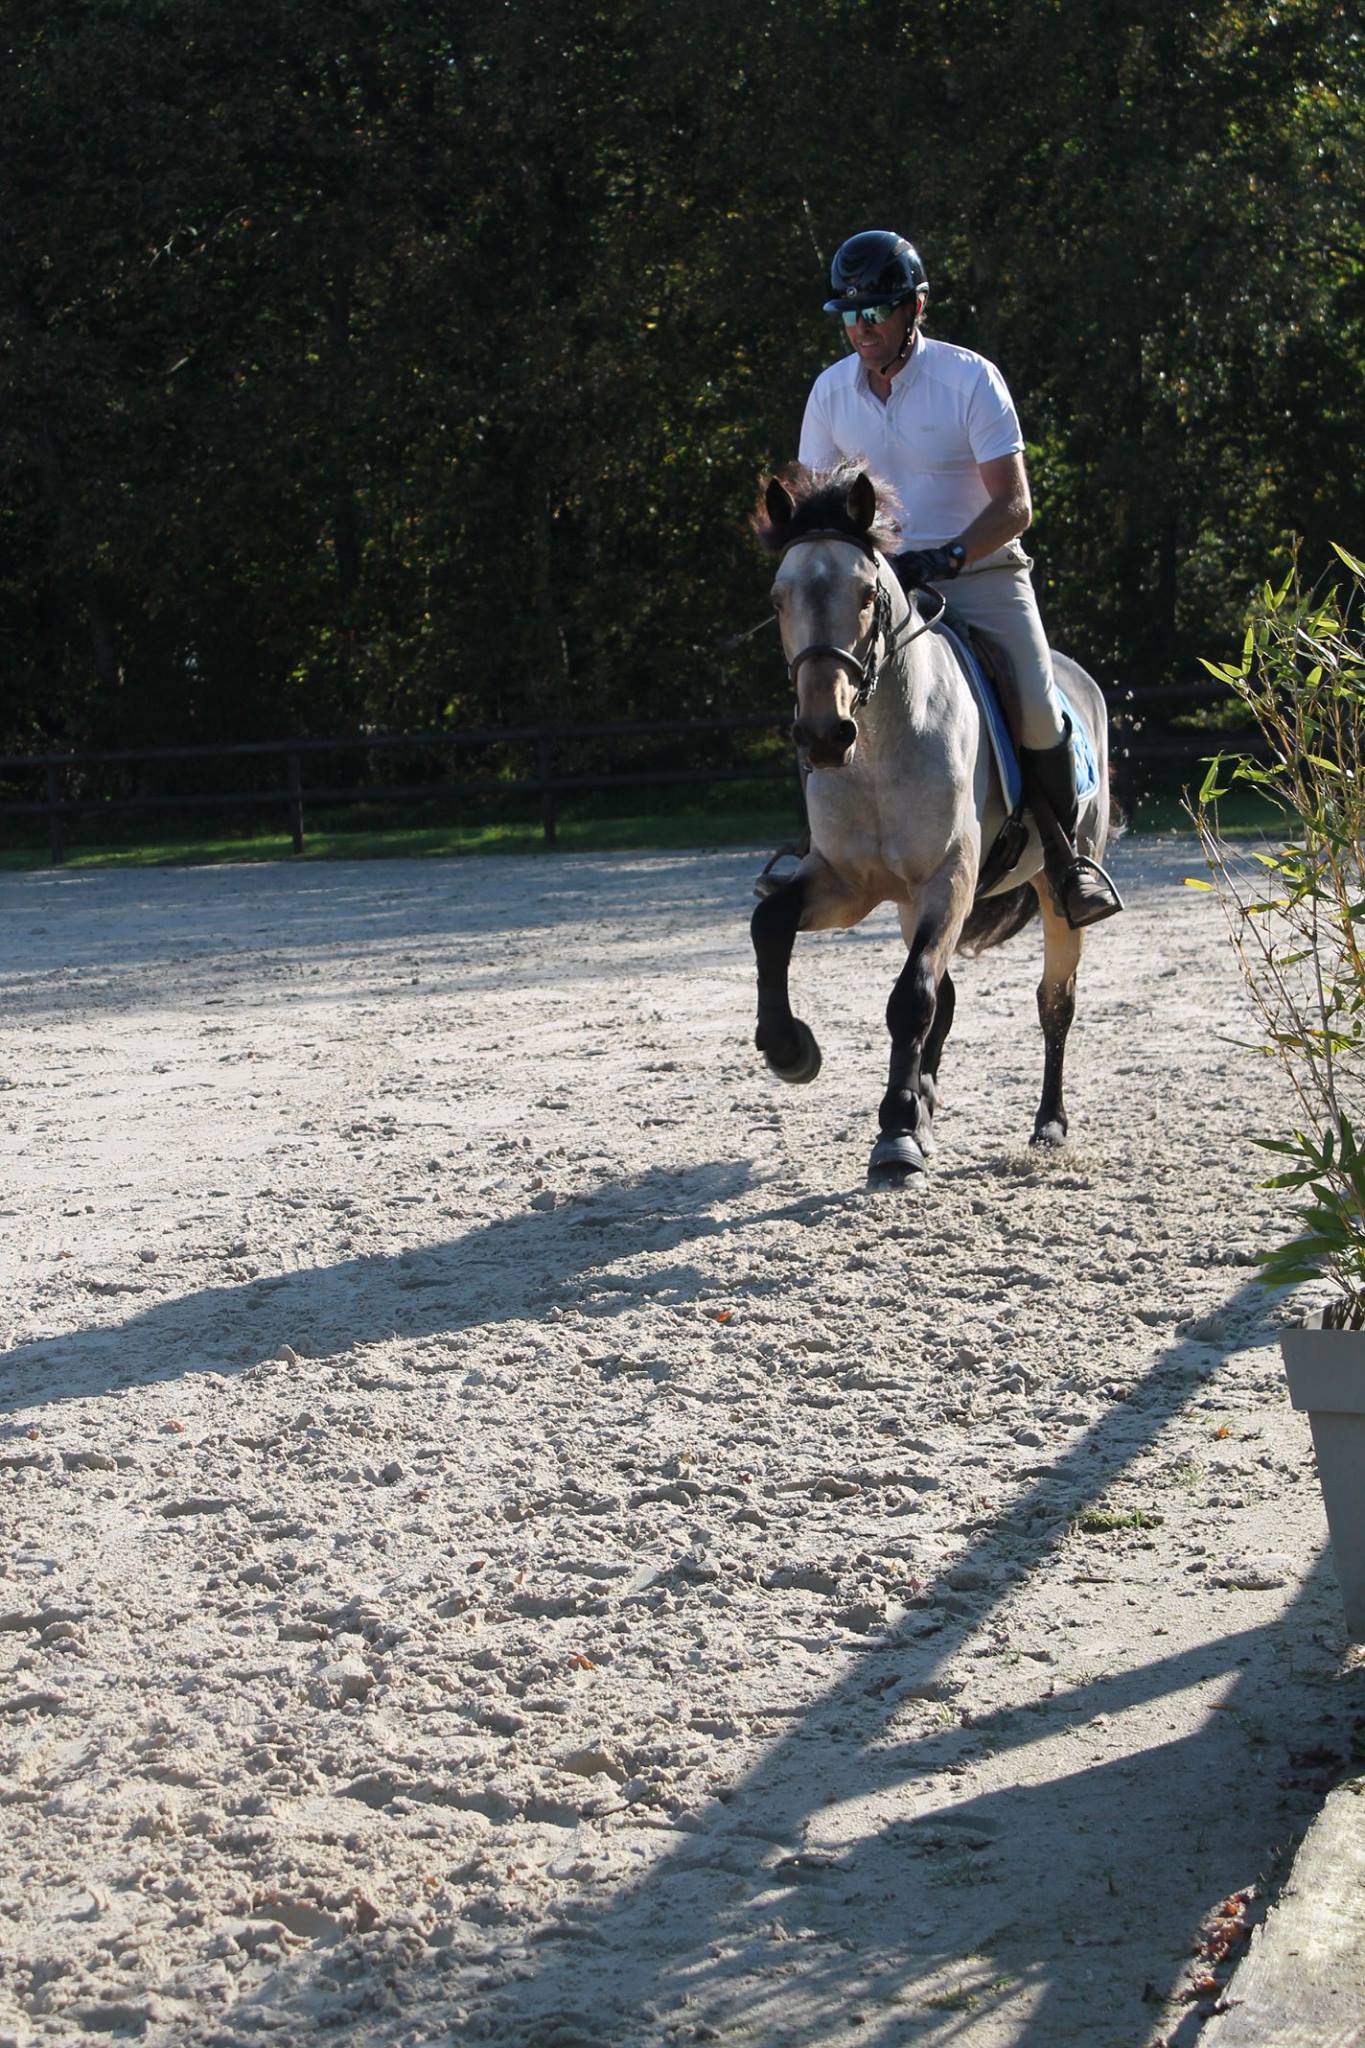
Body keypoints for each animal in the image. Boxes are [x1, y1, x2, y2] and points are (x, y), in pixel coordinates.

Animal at [749, 461, 1117, 1184]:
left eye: (866, 594)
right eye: (777, 599)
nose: (823, 734)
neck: (878, 749)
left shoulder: (948, 878)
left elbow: (911, 998)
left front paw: (894, 1135)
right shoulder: (845, 883)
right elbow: (770, 924)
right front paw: (790, 1050)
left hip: (1051, 896)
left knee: (1053, 1004)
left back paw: (1048, 1126)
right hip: (905, 903)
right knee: (945, 1001)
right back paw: (923, 1106)